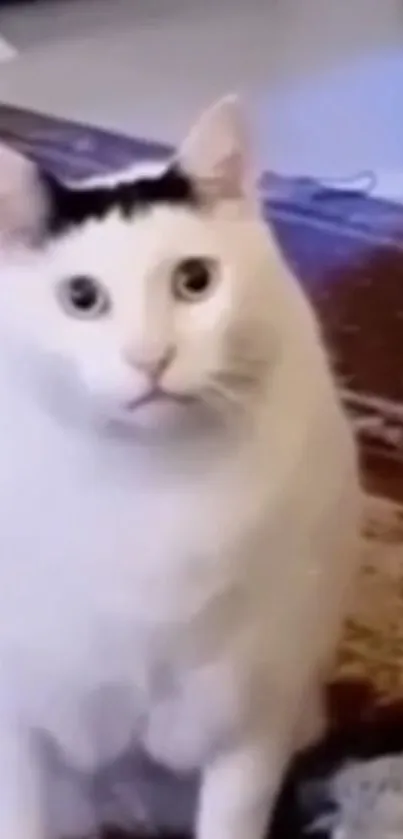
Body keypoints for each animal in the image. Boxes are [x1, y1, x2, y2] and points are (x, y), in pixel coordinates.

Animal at [0, 98, 360, 839]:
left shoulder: (253, 716)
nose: (150, 357)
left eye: (195, 281)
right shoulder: (17, 718)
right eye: (81, 297)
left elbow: (232, 820)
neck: (149, 488)